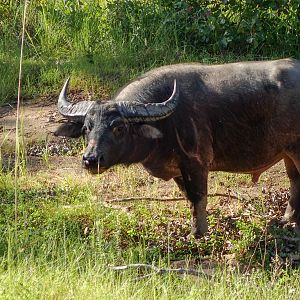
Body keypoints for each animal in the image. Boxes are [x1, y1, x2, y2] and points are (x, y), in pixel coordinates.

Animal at [54, 58, 300, 237]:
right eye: (86, 128)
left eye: (119, 127)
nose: (91, 159)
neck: (166, 123)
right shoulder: (179, 171)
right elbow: (189, 199)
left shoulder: (196, 163)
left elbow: (198, 197)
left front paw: (198, 234)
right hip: (288, 153)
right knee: (294, 180)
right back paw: (288, 220)